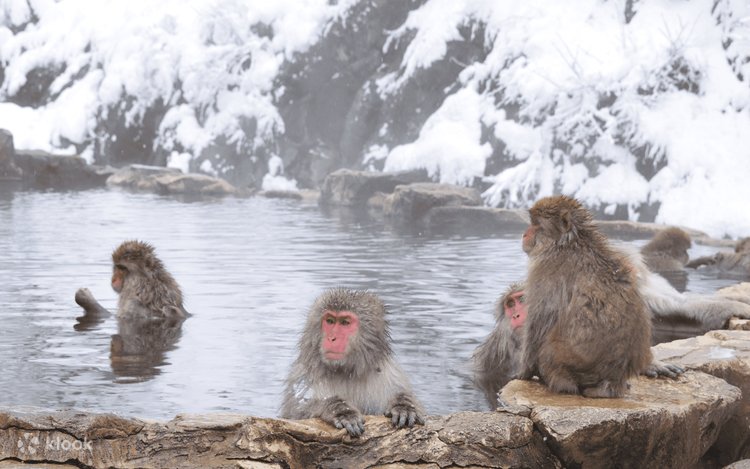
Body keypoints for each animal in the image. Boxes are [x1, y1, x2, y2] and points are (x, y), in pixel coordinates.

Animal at [280, 288, 424, 437]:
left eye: (345, 323)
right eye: (330, 321)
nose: (332, 338)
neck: (346, 371)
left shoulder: (390, 375)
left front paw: (403, 405)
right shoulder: (303, 377)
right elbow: (295, 417)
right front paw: (341, 411)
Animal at [519, 195, 653, 398]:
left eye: (536, 225)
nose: (524, 234)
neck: (568, 243)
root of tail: (613, 381)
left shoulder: (546, 271)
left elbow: (540, 320)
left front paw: (523, 372)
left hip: (569, 362)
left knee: (549, 353)